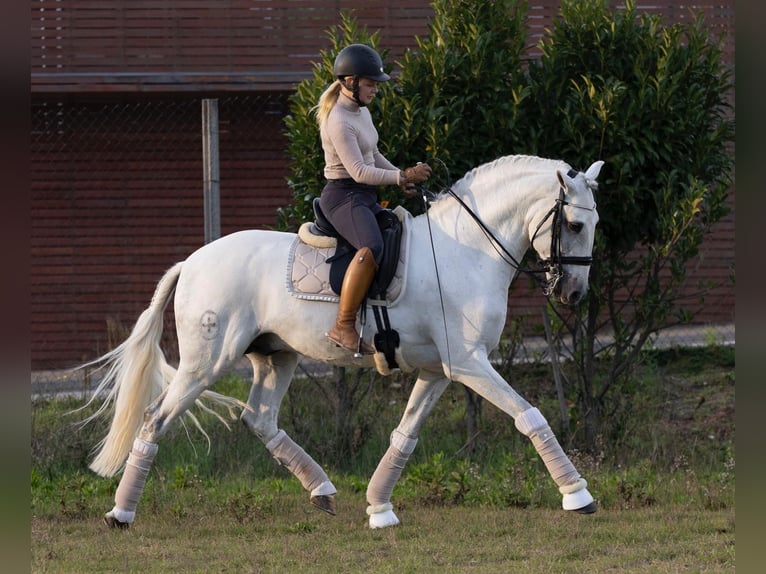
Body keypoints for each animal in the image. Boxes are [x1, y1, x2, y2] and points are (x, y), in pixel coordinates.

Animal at [79, 154, 608, 532]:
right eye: (575, 225)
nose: (573, 293)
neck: (467, 250)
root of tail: (191, 262)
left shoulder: (440, 369)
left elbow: (405, 434)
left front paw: (379, 508)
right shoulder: (470, 364)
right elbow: (529, 415)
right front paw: (578, 495)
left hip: (277, 357)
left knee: (260, 419)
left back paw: (322, 490)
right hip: (205, 364)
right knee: (156, 419)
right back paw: (120, 514)